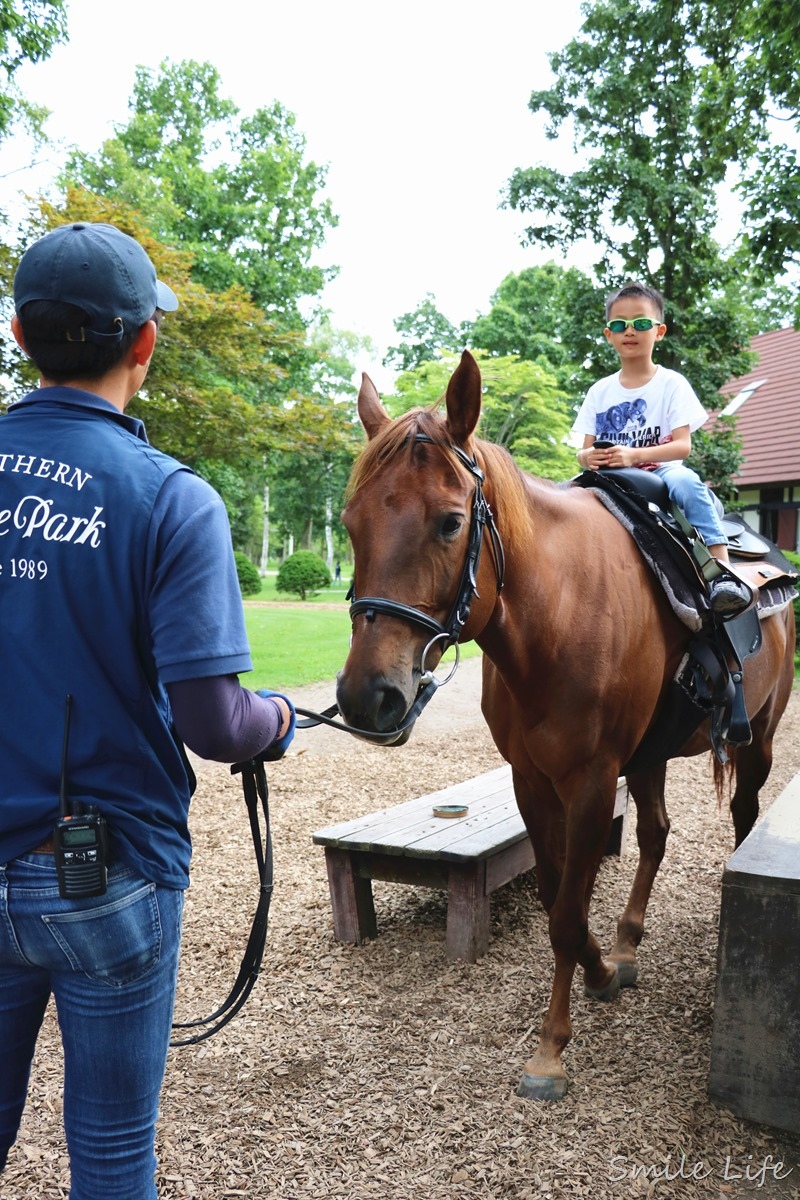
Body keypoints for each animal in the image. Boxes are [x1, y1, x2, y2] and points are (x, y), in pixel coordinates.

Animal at [335, 350, 796, 1099]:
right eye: (350, 523)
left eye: (450, 522)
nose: (366, 697)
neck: (556, 614)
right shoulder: (533, 780)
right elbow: (560, 900)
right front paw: (604, 970)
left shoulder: (590, 782)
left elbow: (565, 913)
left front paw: (552, 1048)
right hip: (651, 755)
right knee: (656, 833)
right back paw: (630, 938)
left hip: (758, 735)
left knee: (744, 812)